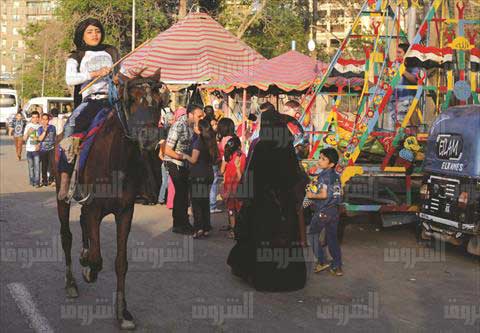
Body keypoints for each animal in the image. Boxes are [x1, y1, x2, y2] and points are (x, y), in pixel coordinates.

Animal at [54, 71, 169, 328]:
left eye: (159, 102)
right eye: (131, 100)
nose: (149, 139)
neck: (116, 160)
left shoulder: (125, 212)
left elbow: (120, 263)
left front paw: (122, 312)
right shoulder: (95, 209)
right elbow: (98, 259)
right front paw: (89, 270)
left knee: (82, 223)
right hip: (63, 199)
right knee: (67, 236)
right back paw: (71, 282)